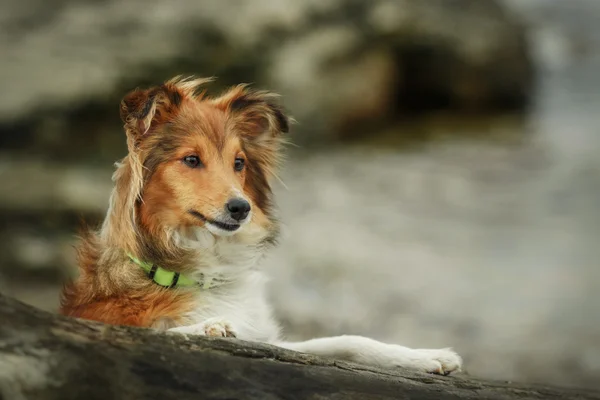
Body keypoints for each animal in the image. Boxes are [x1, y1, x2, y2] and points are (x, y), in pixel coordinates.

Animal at [61, 76, 462, 376]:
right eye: (191, 159)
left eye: (239, 162)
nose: (241, 208)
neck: (202, 272)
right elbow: (164, 331)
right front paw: (209, 327)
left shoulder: (272, 342)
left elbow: (349, 341)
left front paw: (427, 357)